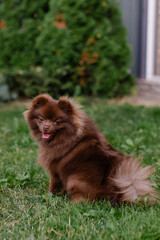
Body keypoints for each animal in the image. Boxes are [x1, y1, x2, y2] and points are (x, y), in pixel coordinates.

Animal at [24, 94, 156, 204]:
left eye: (57, 121)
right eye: (41, 119)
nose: (45, 127)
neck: (67, 137)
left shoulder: (55, 169)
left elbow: (54, 185)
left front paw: (49, 195)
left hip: (75, 180)